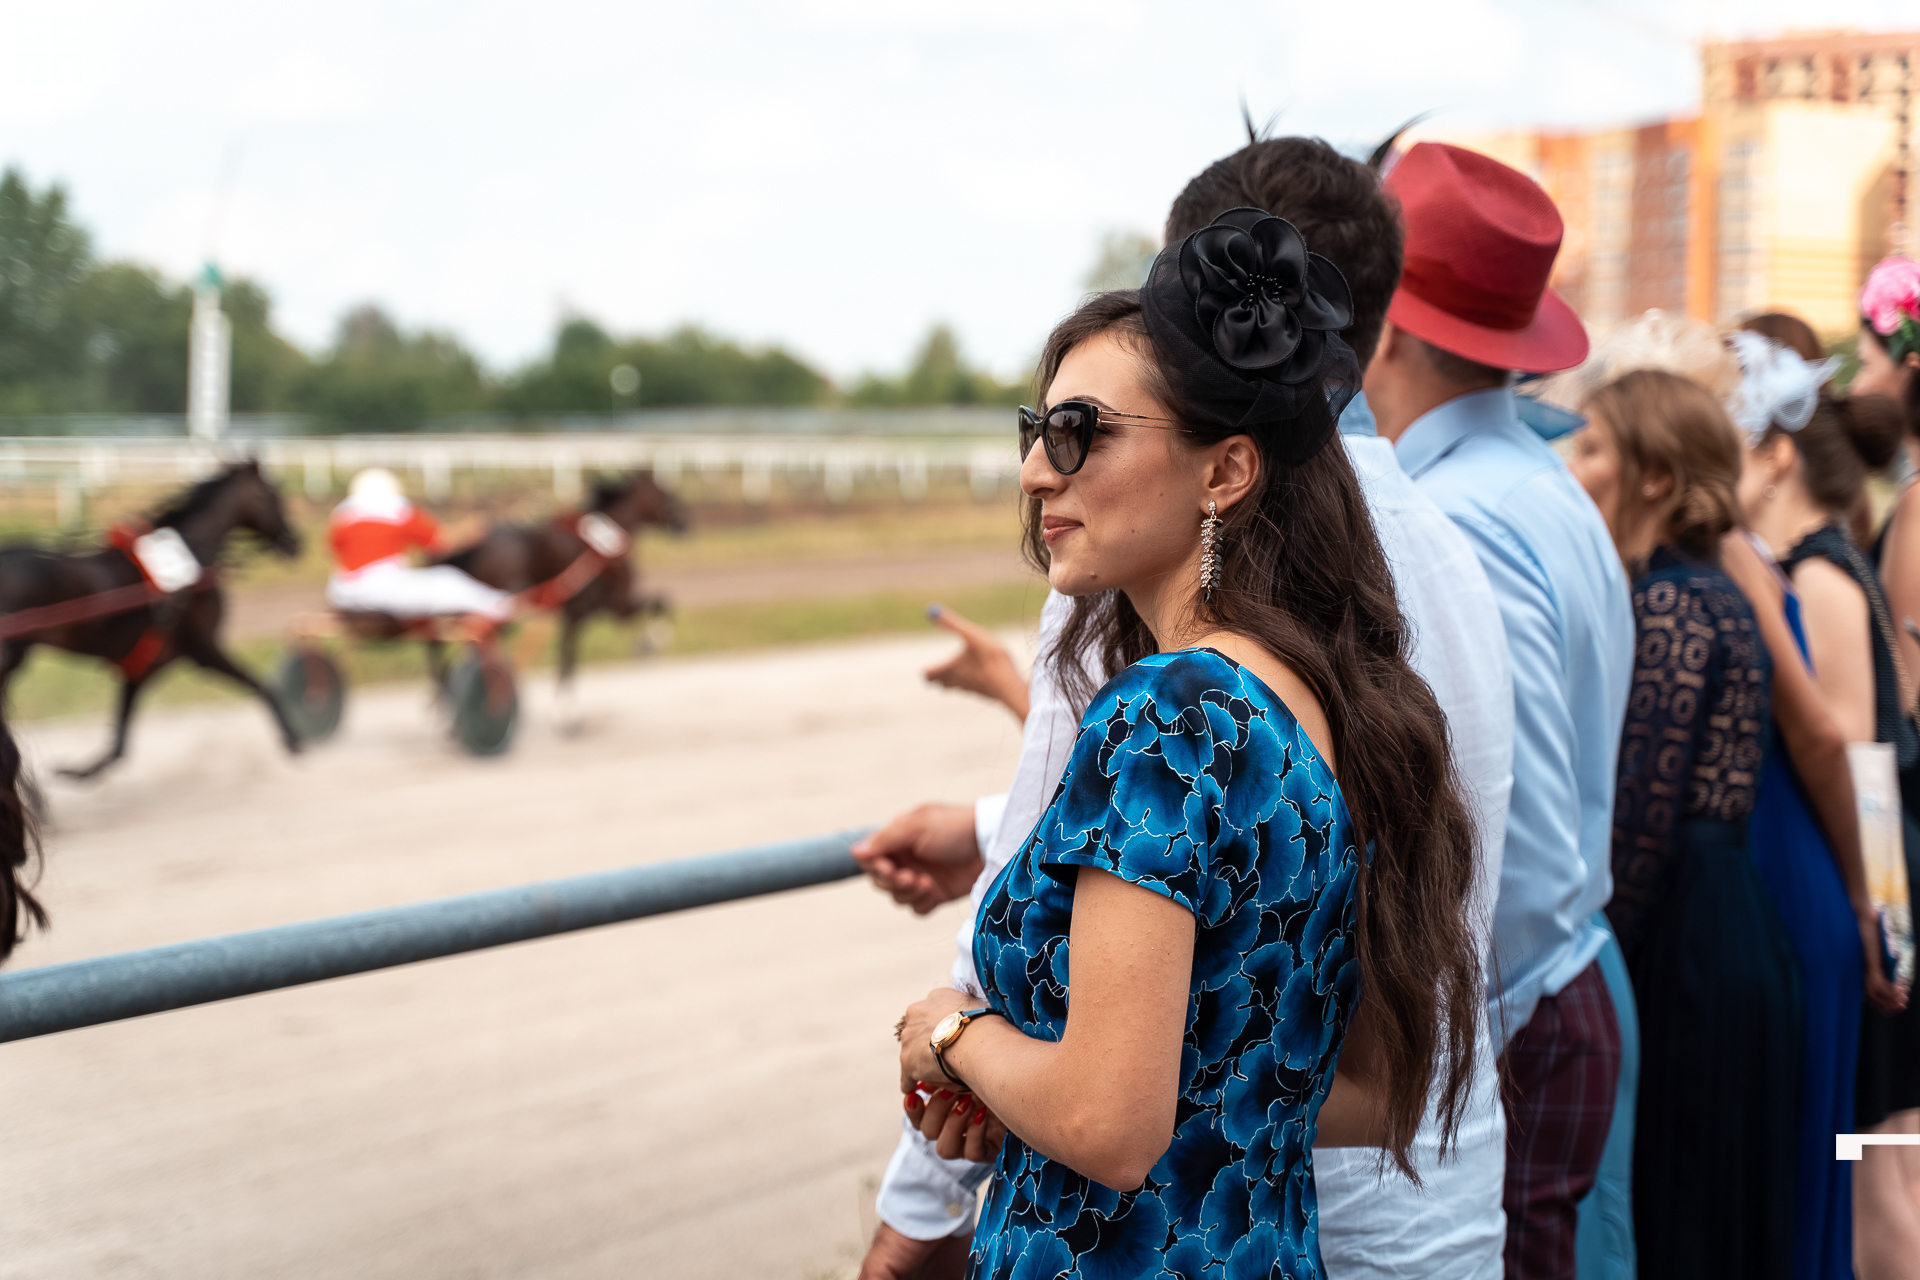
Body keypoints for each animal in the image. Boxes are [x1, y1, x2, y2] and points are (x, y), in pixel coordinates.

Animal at [0, 461, 305, 780]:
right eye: (272, 495)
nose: (296, 541)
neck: (188, 565)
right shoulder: (203, 649)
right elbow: (261, 684)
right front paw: (293, 739)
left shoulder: (144, 664)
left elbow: (119, 742)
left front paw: (81, 771)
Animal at [438, 470, 687, 691]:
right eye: (664, 493)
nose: (684, 520)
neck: (600, 547)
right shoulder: (606, 606)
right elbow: (661, 603)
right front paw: (652, 642)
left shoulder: (591, 610)